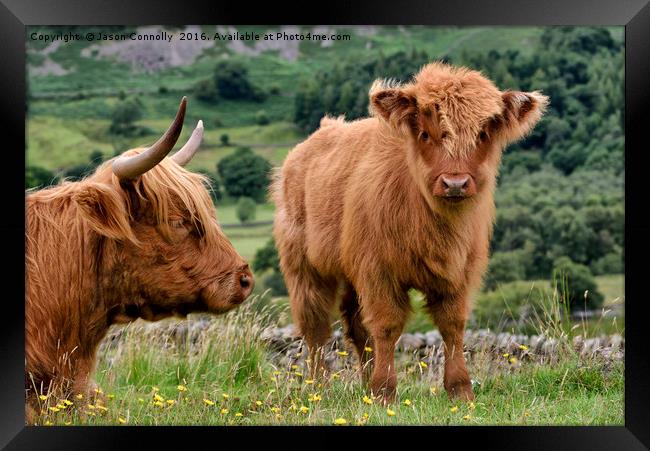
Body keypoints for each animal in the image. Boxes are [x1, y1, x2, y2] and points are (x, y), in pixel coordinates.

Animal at [270, 62, 548, 402]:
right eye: (426, 134)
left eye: (482, 134)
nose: (455, 183)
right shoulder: (378, 271)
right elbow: (387, 325)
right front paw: (385, 391)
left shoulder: (461, 271)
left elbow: (453, 325)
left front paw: (460, 389)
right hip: (304, 267)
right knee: (317, 329)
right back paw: (319, 386)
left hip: (350, 271)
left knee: (356, 326)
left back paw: (365, 383)